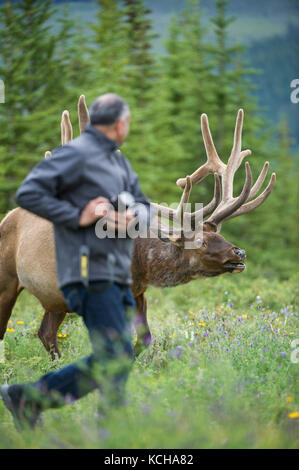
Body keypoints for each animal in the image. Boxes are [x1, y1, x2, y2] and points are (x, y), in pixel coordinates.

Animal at [0, 97, 276, 358]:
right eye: (201, 241)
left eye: (220, 234)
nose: (239, 253)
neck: (139, 263)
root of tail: (8, 215)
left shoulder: (139, 293)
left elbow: (144, 340)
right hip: (8, 280)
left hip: (54, 301)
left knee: (45, 333)